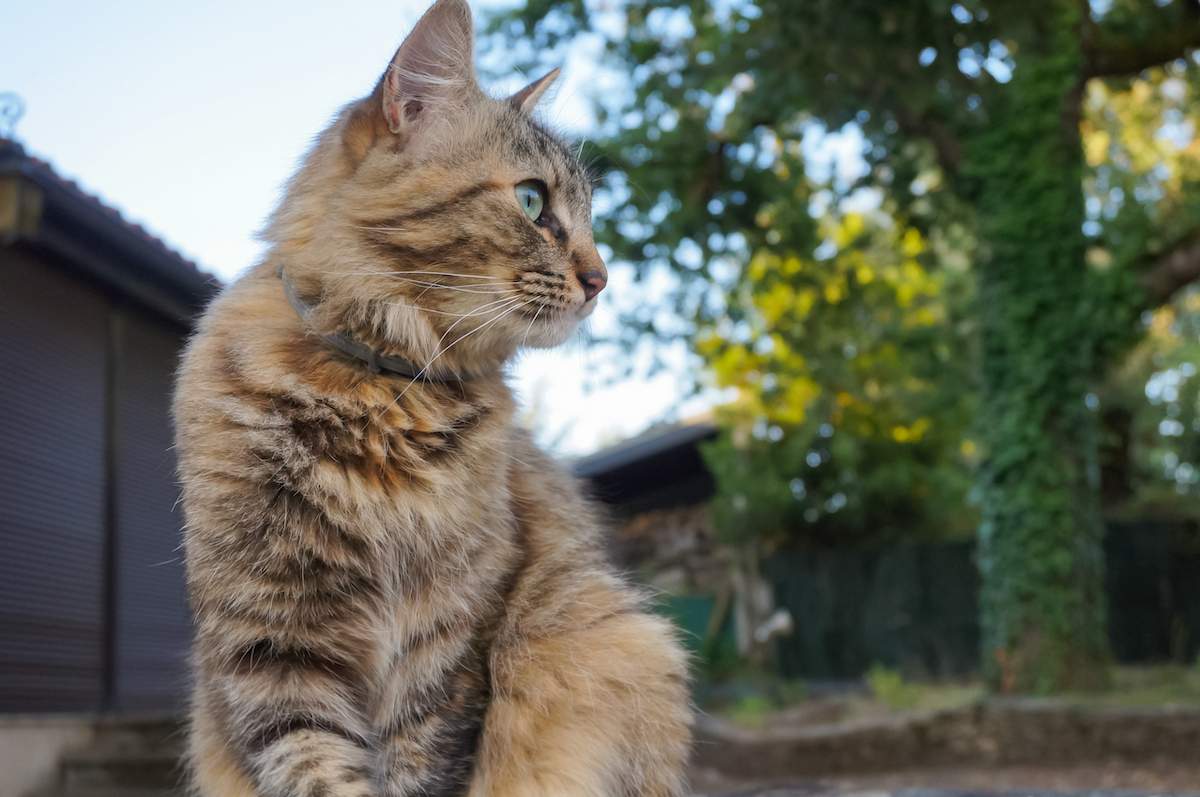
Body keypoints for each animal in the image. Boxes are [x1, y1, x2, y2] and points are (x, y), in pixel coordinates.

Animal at [172, 1, 691, 797]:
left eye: (592, 217)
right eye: (533, 200)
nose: (603, 279)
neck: (384, 394)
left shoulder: (450, 637)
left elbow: (420, 764)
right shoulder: (272, 639)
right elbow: (317, 767)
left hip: (617, 630)